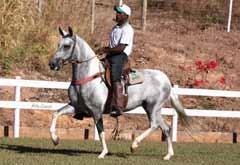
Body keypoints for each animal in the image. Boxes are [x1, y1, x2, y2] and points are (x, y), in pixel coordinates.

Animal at [48, 27, 188, 160]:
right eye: (58, 44)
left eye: (67, 46)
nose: (52, 64)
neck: (88, 77)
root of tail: (166, 80)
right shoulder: (76, 106)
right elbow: (56, 113)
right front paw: (55, 140)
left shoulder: (96, 111)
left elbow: (101, 131)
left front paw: (103, 153)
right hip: (153, 109)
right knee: (166, 128)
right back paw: (168, 155)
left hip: (152, 107)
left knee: (154, 125)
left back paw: (134, 145)